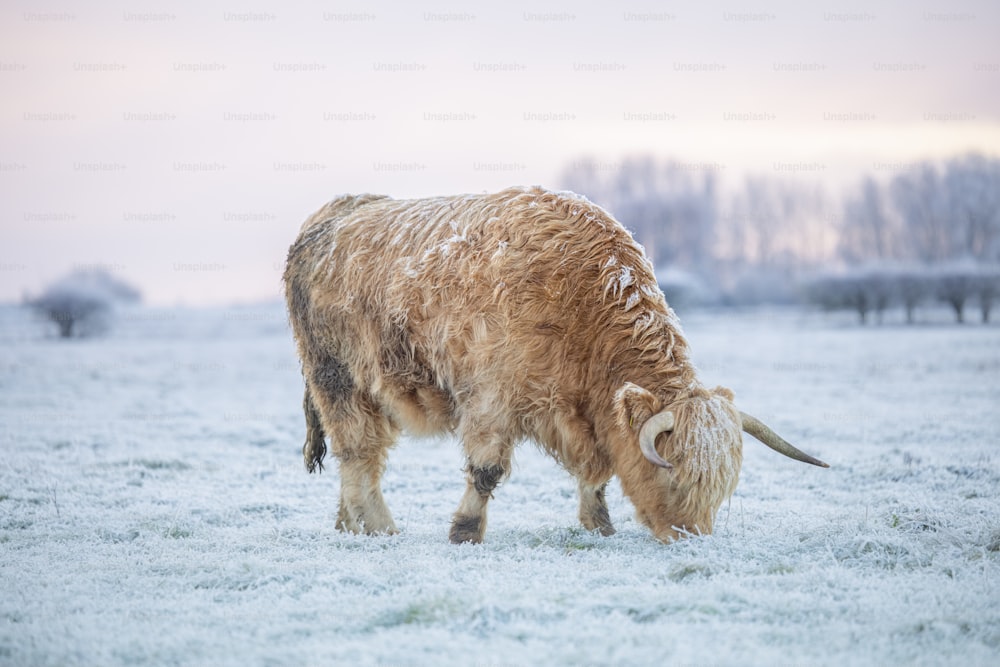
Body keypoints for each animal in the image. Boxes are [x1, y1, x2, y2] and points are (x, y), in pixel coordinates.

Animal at [284, 185, 828, 544]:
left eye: (721, 487)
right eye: (674, 475)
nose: (692, 538)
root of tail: (337, 208)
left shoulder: (585, 413)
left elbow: (597, 472)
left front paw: (599, 525)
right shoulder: (490, 397)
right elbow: (486, 471)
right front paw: (465, 532)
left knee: (359, 457)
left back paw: (348, 524)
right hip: (336, 377)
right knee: (358, 453)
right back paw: (378, 527)